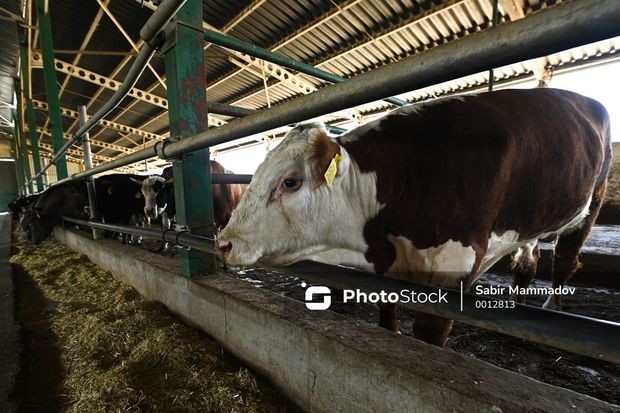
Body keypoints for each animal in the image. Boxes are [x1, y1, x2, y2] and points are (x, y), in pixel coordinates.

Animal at [217, 88, 612, 346]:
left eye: (290, 182)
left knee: (564, 263)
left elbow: (430, 331)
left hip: (589, 206)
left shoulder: (456, 264)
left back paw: (550, 308)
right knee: (527, 263)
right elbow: (387, 312)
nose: (224, 243)